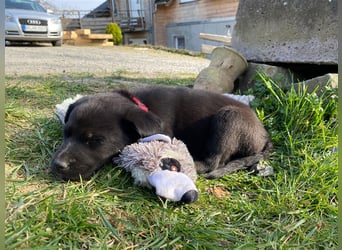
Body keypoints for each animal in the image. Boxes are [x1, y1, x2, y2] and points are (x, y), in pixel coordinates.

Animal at [50, 85, 272, 180]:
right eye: (66, 133)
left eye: (95, 140)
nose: (57, 165)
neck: (142, 105)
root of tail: (265, 135)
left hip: (229, 118)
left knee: (215, 162)